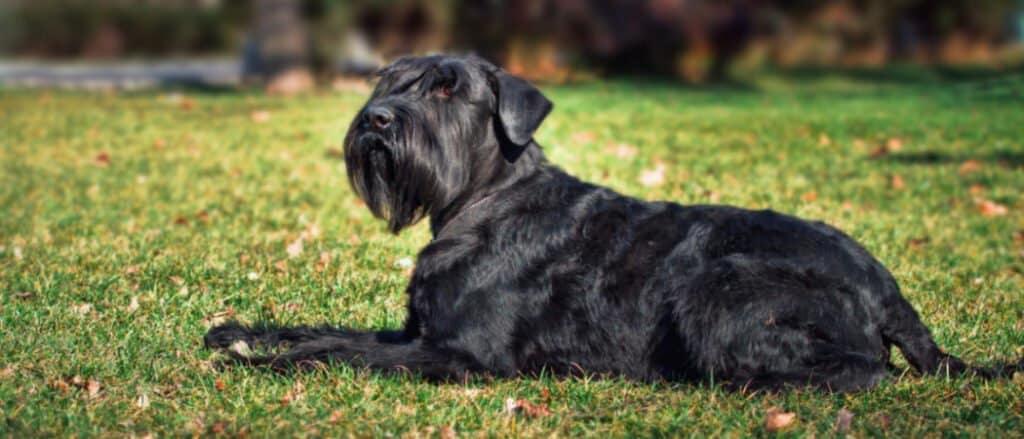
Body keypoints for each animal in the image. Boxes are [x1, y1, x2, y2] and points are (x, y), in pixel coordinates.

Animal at [203, 53, 1019, 390]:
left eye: (446, 89)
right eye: (390, 81)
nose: (375, 119)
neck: (482, 201)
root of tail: (887, 288)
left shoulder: (461, 354)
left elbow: (342, 352)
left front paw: (263, 362)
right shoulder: (421, 333)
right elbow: (330, 331)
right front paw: (241, 332)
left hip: (718, 291)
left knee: (862, 371)